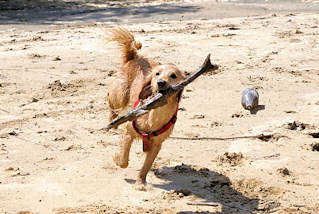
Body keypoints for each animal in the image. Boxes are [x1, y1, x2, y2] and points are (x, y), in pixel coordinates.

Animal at [107, 28, 185, 189]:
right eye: (157, 74)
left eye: (173, 75)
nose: (161, 82)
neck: (155, 115)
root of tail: (135, 57)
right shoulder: (128, 132)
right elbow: (123, 160)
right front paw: (117, 158)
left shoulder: (157, 144)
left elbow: (146, 166)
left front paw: (140, 182)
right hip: (119, 94)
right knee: (111, 102)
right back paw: (113, 120)